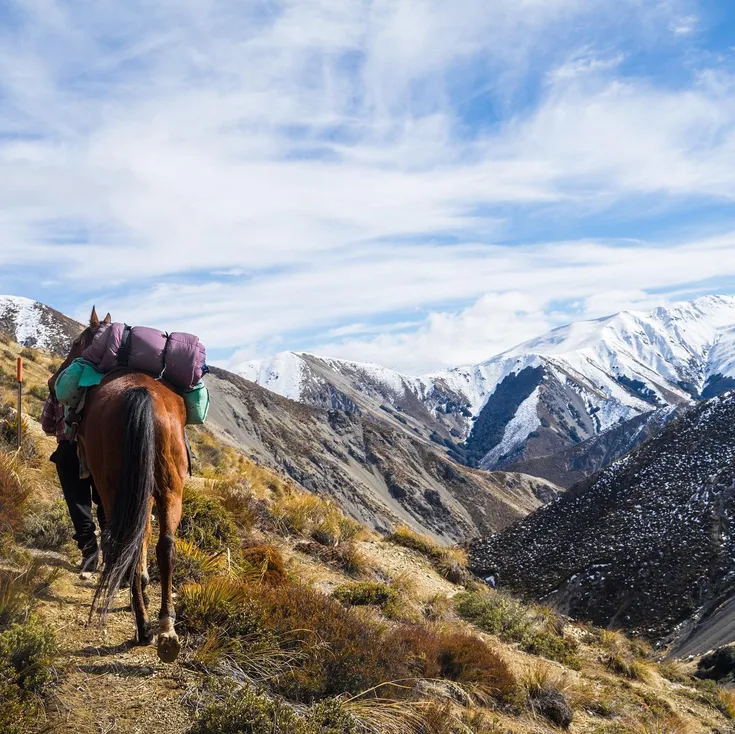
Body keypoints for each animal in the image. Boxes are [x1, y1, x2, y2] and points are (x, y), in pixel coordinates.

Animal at [51, 306, 188, 663]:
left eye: (78, 342)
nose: (53, 381)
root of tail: (141, 395)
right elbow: (146, 534)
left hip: (114, 487)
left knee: (128, 540)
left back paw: (144, 627)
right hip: (170, 489)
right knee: (164, 545)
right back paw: (163, 628)